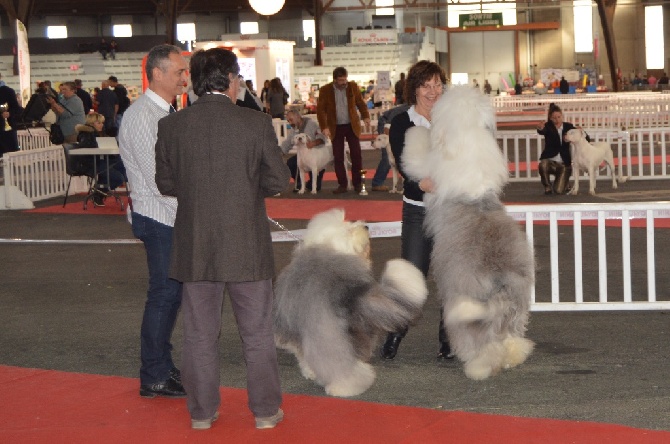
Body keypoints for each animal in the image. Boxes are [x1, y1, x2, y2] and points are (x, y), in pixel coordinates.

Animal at [274, 210, 428, 398]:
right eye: (348, 229)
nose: (366, 226)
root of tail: (350, 291)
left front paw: (310, 372)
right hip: (360, 328)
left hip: (327, 332)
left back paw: (343, 387)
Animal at [402, 85, 540, 380]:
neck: (468, 139)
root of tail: (499, 281)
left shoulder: (429, 170)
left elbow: (417, 152)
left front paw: (415, 132)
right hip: (515, 308)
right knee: (509, 338)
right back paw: (512, 358)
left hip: (464, 303)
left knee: (478, 341)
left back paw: (476, 364)